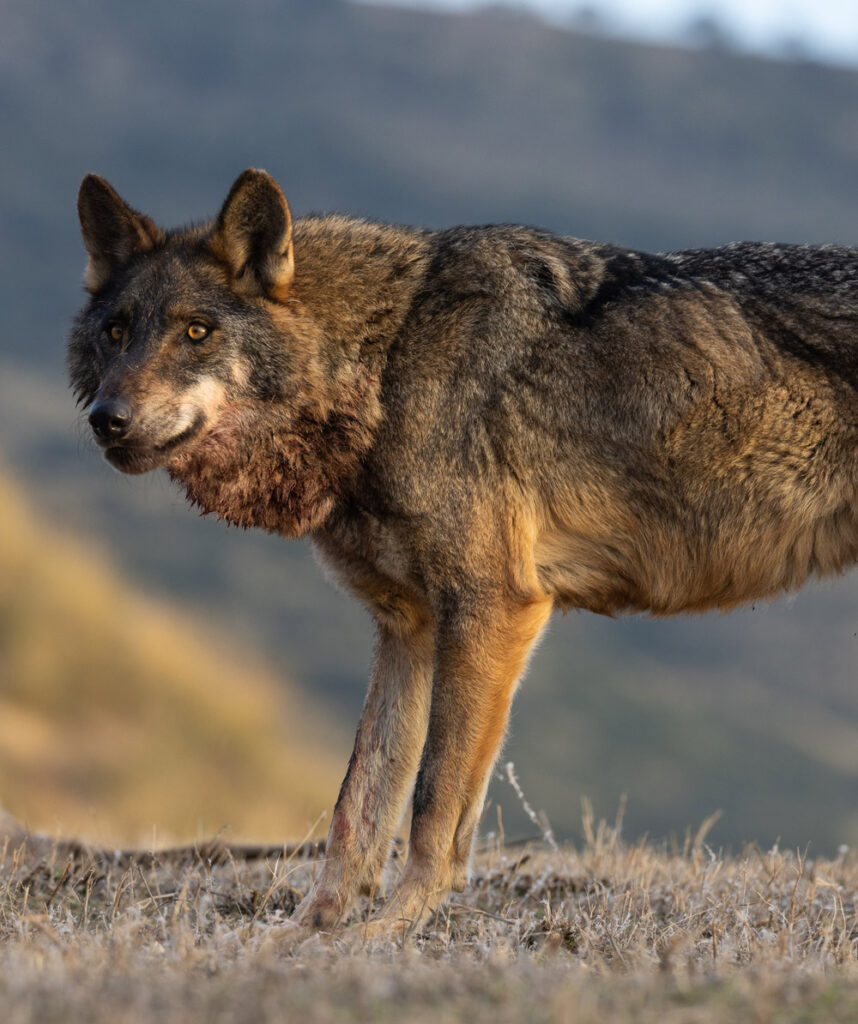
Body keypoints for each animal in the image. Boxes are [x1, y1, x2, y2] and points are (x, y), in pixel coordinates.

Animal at [69, 167, 858, 937]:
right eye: (115, 332)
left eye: (196, 331)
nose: (106, 420)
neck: (386, 360)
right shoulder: (407, 628)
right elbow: (358, 804)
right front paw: (305, 937)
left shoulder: (494, 607)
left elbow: (434, 802)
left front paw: (388, 931)